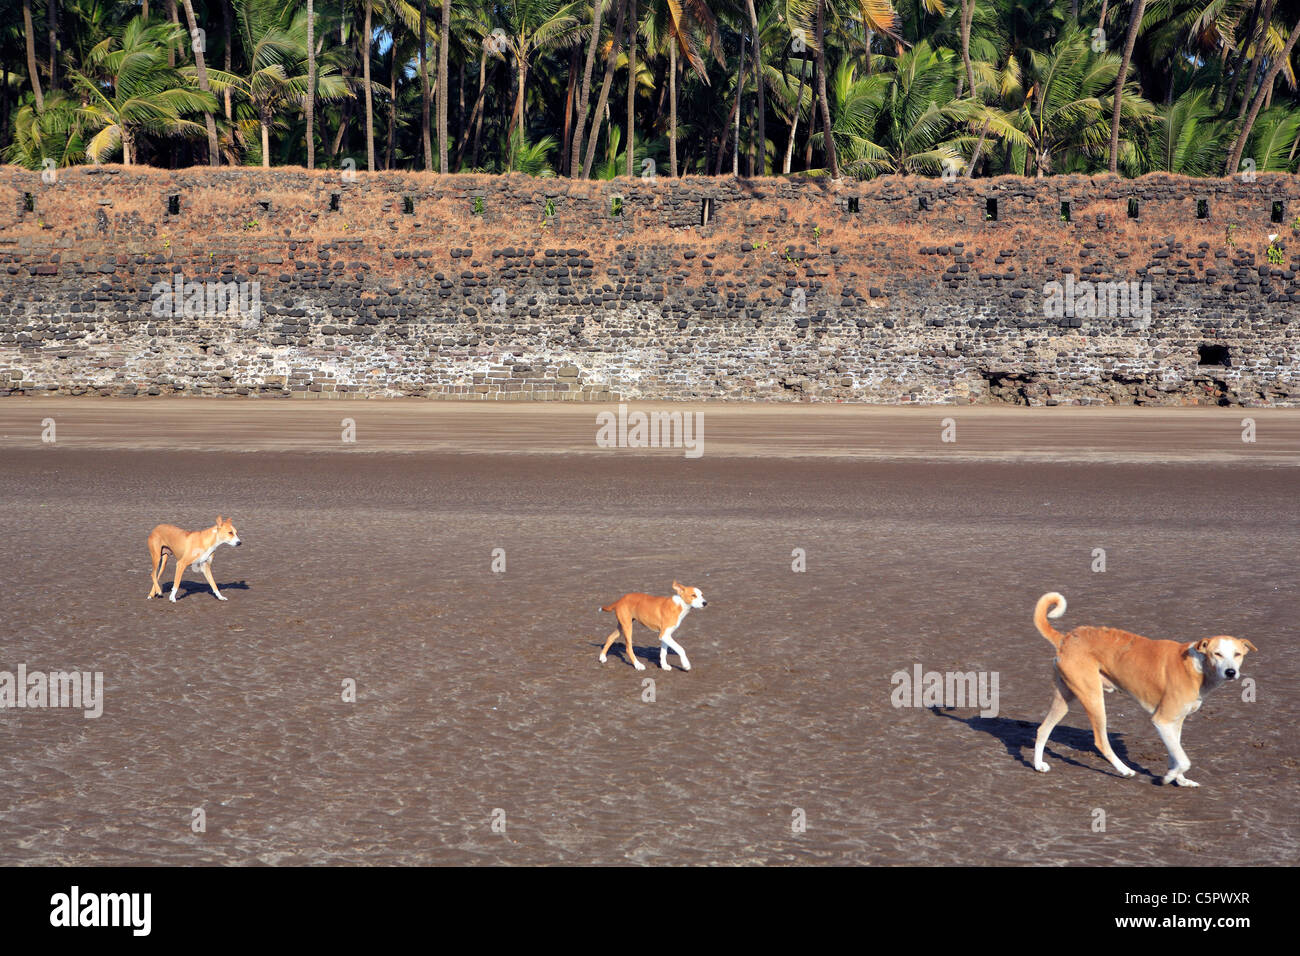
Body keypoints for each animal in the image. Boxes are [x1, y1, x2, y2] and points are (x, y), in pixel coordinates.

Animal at [1029, 595, 1253, 790]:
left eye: (1237, 654)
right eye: (1217, 654)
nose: (1231, 672)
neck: (1196, 666)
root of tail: (1065, 638)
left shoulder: (1175, 723)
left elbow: (1176, 754)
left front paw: (1180, 780)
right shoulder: (1162, 720)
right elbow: (1183, 760)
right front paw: (1168, 777)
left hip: (1066, 697)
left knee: (1043, 729)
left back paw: (1038, 765)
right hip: (1094, 699)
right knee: (1101, 741)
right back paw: (1124, 770)